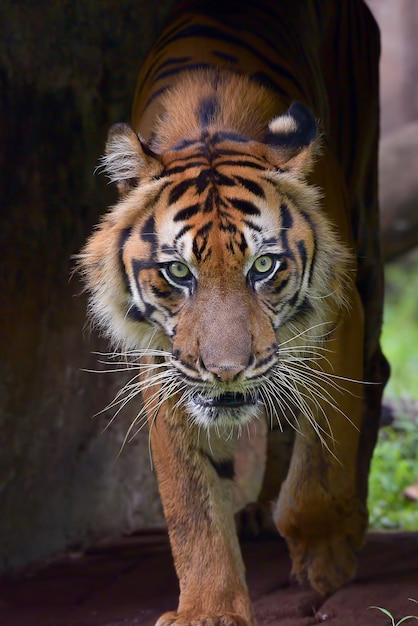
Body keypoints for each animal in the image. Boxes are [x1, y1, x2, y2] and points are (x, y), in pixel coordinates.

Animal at [77, 1, 388, 624]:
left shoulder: (338, 319)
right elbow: (191, 502)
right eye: (178, 273)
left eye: (263, 266)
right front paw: (209, 609)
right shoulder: (165, 360)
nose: (226, 373)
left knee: (375, 377)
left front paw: (328, 557)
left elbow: (319, 470)